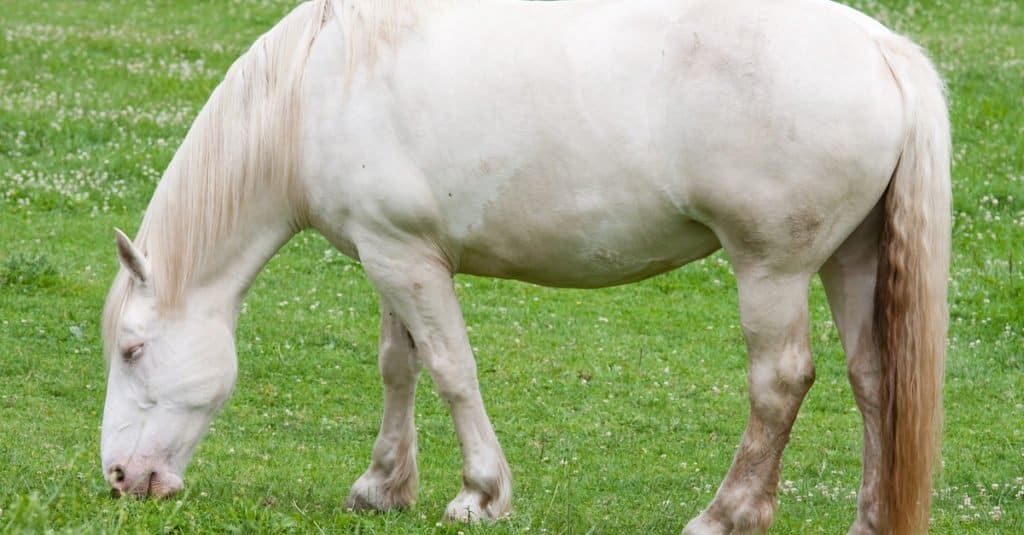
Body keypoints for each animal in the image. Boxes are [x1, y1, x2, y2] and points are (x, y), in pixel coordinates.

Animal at [99, 0, 950, 533]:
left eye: (133, 349)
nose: (120, 479)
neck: (318, 86)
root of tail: (885, 52)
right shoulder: (390, 254)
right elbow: (398, 365)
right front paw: (383, 485)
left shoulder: (406, 260)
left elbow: (450, 369)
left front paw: (480, 493)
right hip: (850, 259)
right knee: (874, 379)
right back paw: (867, 518)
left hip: (771, 269)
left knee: (779, 382)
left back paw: (724, 514)